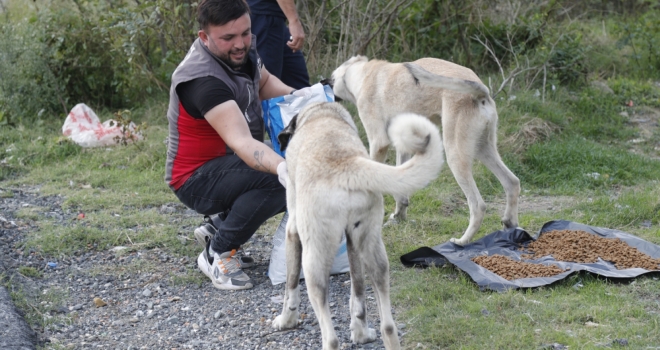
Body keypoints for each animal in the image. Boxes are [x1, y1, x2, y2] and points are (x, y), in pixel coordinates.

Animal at [274, 102, 444, 350]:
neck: (321, 114)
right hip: (374, 252)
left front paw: (286, 320)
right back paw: (369, 334)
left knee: (331, 337)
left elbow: (291, 286)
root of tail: (347, 163)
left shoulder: (292, 233)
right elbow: (358, 291)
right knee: (387, 325)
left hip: (314, 264)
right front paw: (360, 331)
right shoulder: (352, 243)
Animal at [330, 56, 520, 245]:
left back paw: (462, 241)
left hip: (455, 155)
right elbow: (401, 191)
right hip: (483, 149)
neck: (361, 73)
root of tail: (481, 91)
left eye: (331, 79)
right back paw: (510, 226)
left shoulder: (378, 143)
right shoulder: (402, 147)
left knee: (478, 205)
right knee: (512, 182)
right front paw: (399, 217)